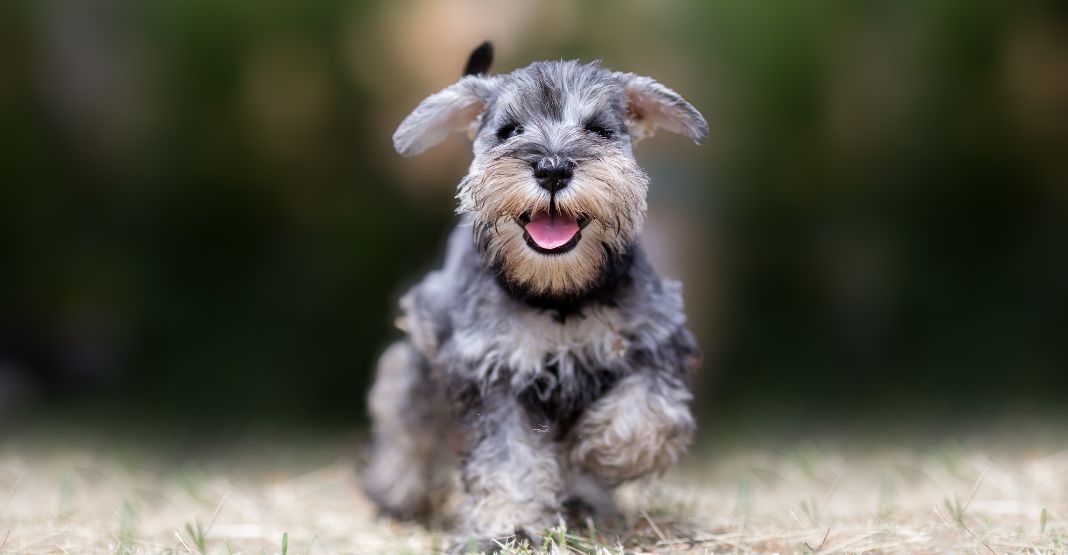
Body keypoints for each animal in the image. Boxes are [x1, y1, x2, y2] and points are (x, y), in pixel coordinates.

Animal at [367, 43, 709, 550]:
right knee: (406, 419)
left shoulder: (654, 340)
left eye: (599, 130)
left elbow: (648, 415)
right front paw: (508, 526)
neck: (557, 296)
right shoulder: (492, 372)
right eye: (509, 131)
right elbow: (508, 461)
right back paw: (395, 491)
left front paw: (598, 449)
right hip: (420, 363)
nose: (552, 168)